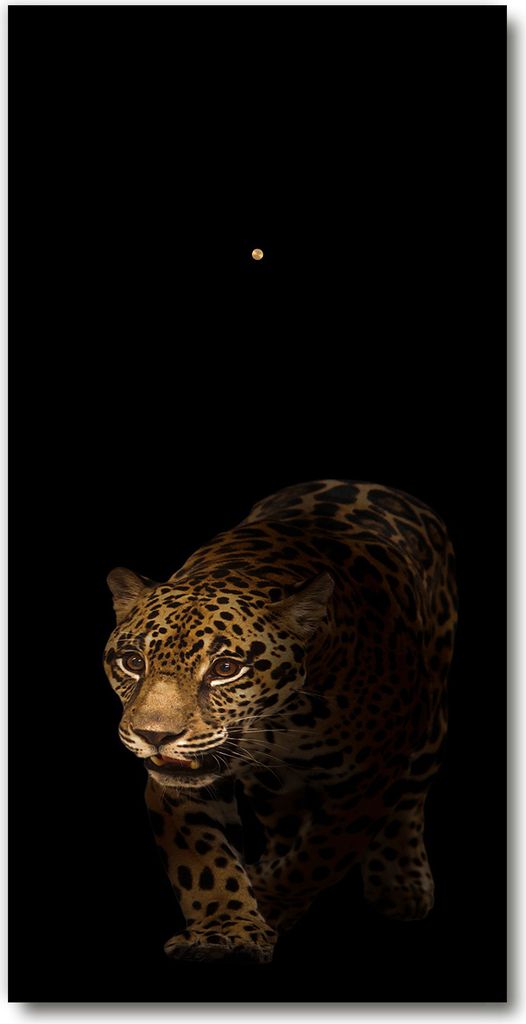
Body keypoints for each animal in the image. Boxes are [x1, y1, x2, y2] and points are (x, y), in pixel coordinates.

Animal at [103, 479, 457, 963]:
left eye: (226, 668)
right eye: (133, 661)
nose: (154, 735)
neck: (281, 723)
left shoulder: (369, 776)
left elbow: (323, 854)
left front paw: (270, 897)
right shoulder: (182, 784)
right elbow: (204, 862)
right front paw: (225, 931)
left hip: (429, 720)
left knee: (410, 796)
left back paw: (400, 880)